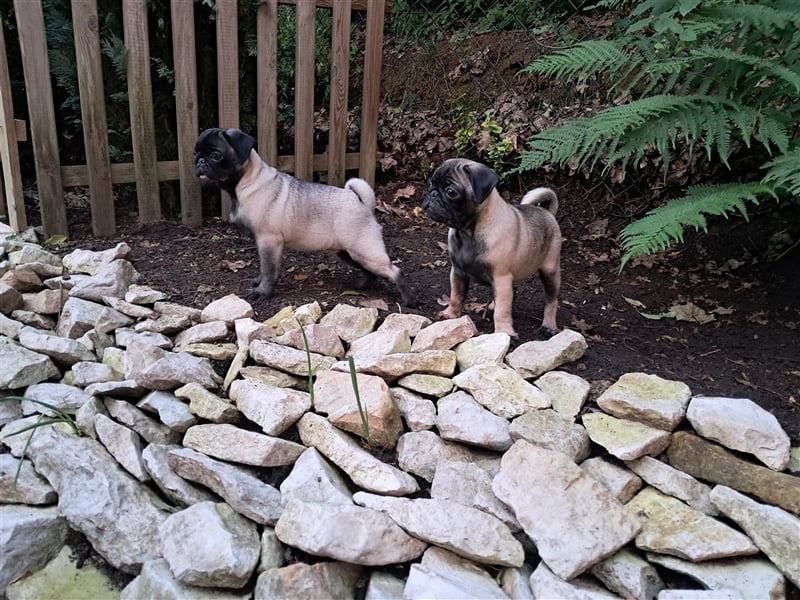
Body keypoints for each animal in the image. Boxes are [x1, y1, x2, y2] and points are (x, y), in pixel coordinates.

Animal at [195, 126, 412, 304]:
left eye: (215, 155)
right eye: (195, 152)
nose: (199, 161)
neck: (246, 181)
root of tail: (360, 201)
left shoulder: (268, 241)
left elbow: (269, 269)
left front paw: (263, 292)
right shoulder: (261, 242)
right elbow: (262, 266)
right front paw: (258, 282)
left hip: (364, 250)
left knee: (395, 272)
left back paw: (409, 301)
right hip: (349, 251)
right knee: (369, 272)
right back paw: (360, 286)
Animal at [422, 158, 560, 338]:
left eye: (451, 192)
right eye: (430, 183)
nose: (433, 194)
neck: (468, 232)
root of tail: (548, 213)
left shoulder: (501, 277)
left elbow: (502, 311)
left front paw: (504, 332)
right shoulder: (458, 272)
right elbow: (456, 296)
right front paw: (450, 314)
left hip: (549, 272)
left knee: (551, 300)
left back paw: (549, 325)